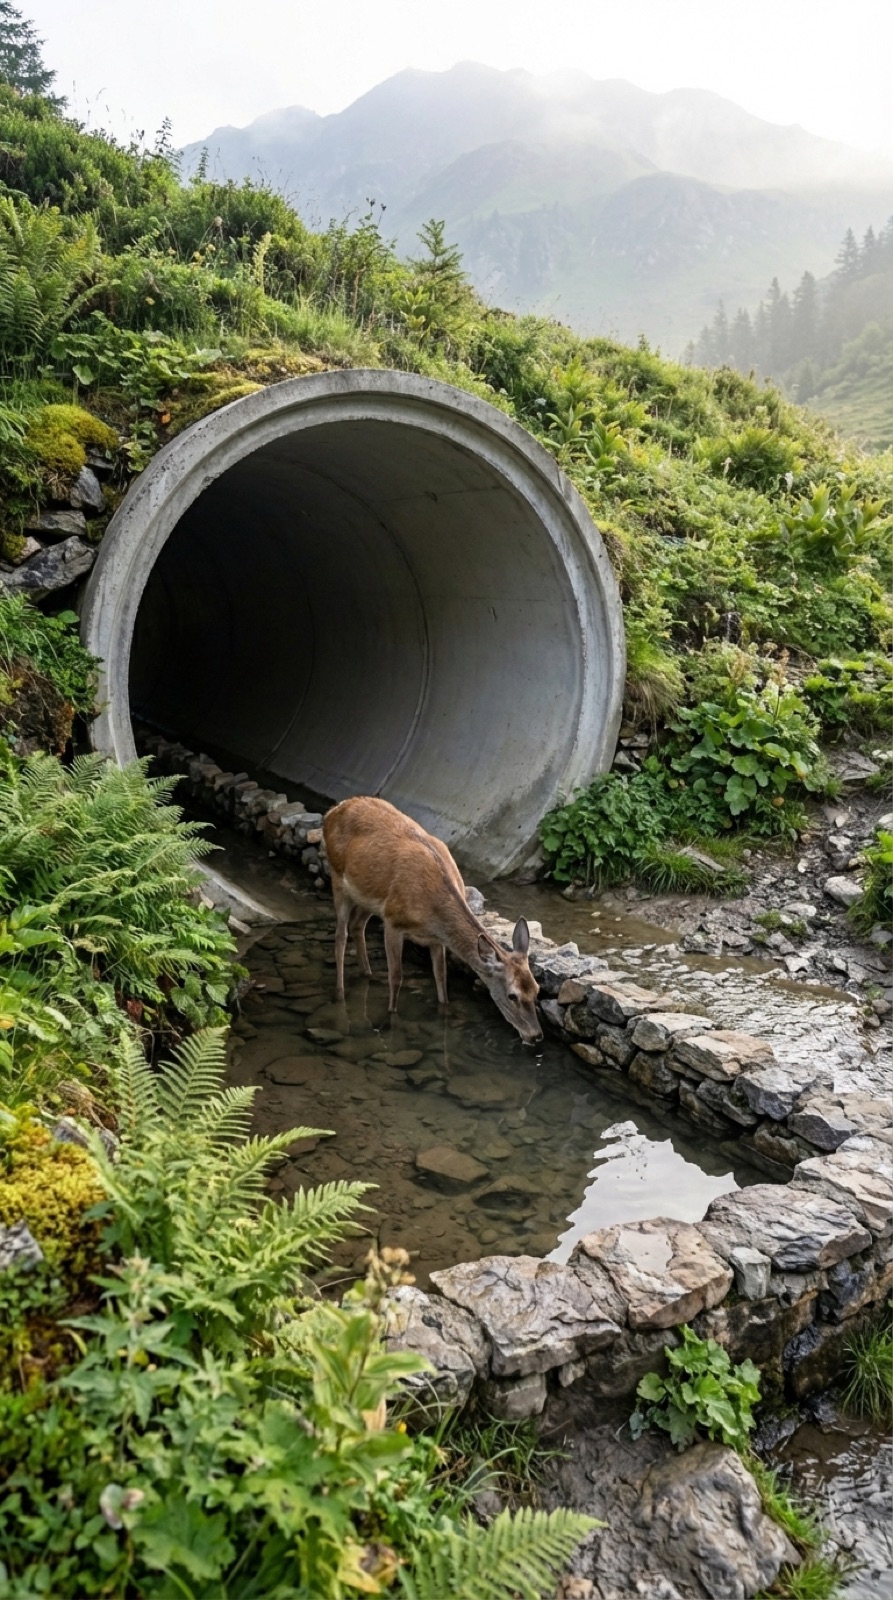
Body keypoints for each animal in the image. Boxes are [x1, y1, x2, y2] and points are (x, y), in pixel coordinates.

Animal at [322, 795, 543, 1044]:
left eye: (537, 990)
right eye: (512, 996)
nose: (536, 1035)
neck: (432, 913)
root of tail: (333, 811)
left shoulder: (437, 940)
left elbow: (441, 979)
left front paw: (444, 1014)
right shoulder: (393, 920)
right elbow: (396, 976)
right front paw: (391, 1016)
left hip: (366, 897)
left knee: (357, 925)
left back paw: (368, 974)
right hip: (337, 877)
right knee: (341, 935)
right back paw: (340, 993)